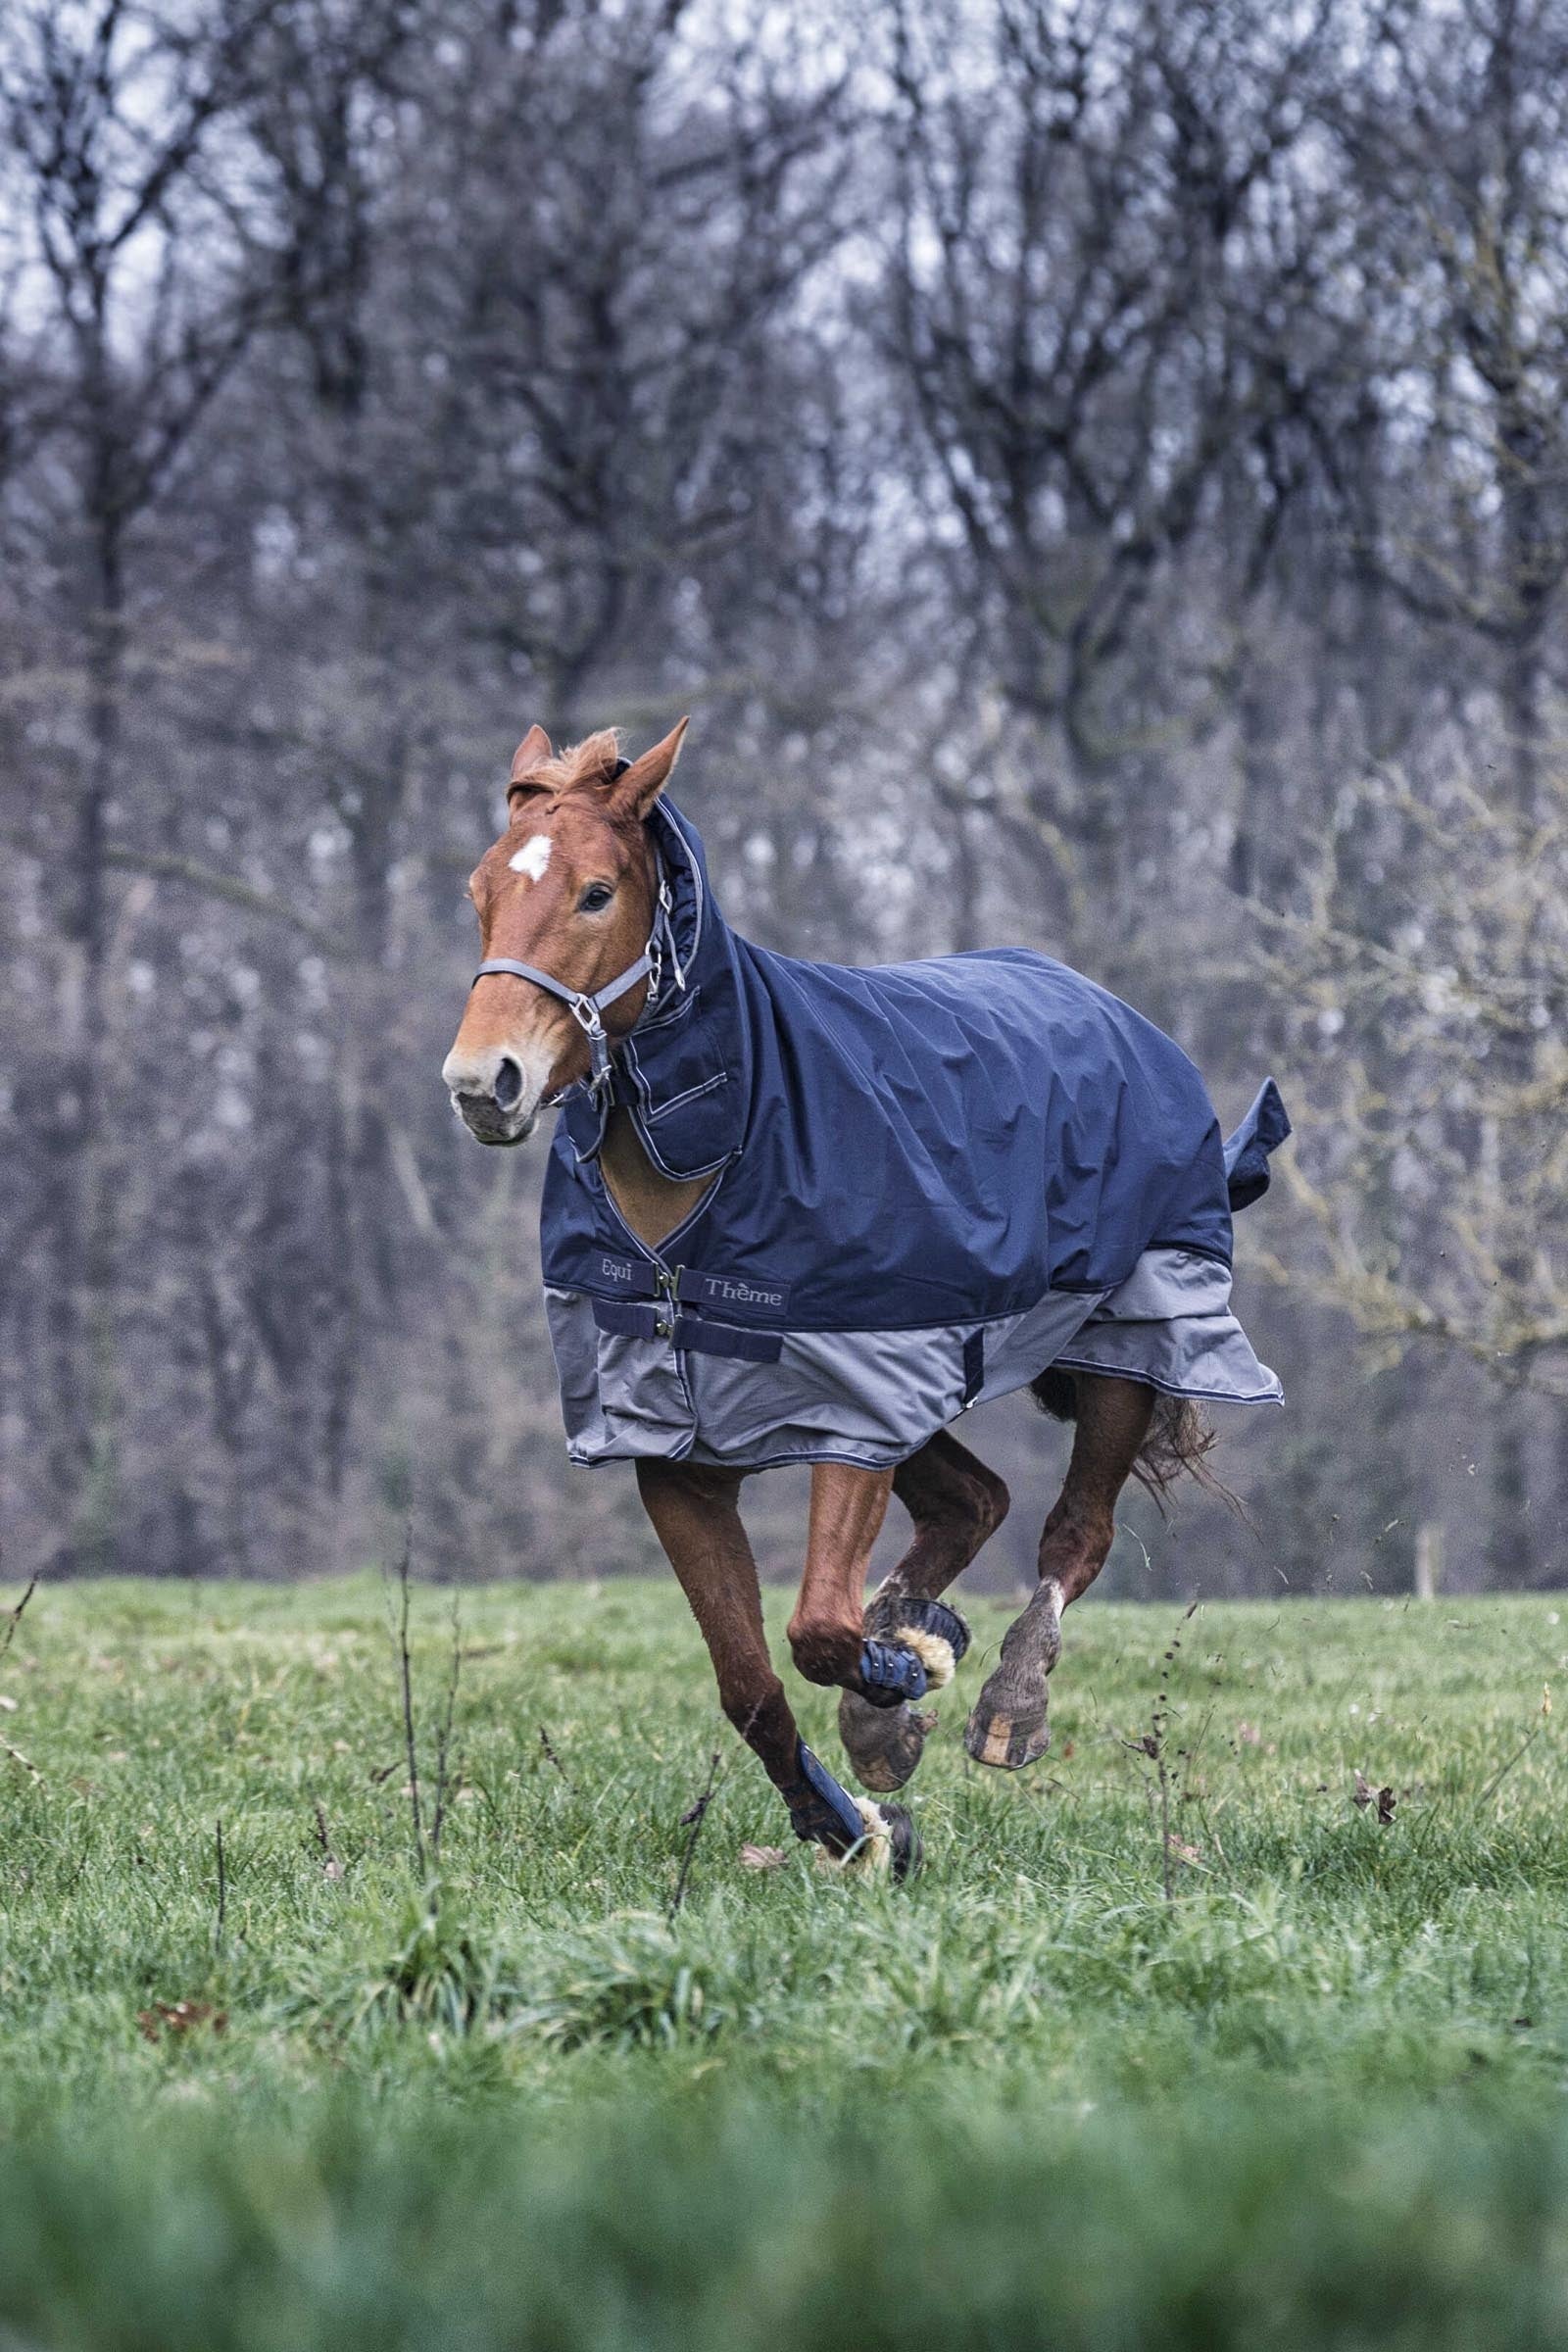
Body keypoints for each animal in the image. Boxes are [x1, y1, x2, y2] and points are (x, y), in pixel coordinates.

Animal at [441, 720, 1286, 1878]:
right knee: (975, 1500)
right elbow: (752, 1682)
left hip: (1127, 1336)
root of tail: (1121, 1015)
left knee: (1075, 1534)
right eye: (480, 889)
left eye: (596, 893)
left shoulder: (855, 1411)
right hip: (929, 1384)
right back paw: (905, 1672)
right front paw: (855, 1816)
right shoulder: (681, 1454)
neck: (729, 1152)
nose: (484, 1085)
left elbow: (817, 1630)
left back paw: (1005, 1702)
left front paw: (907, 1671)